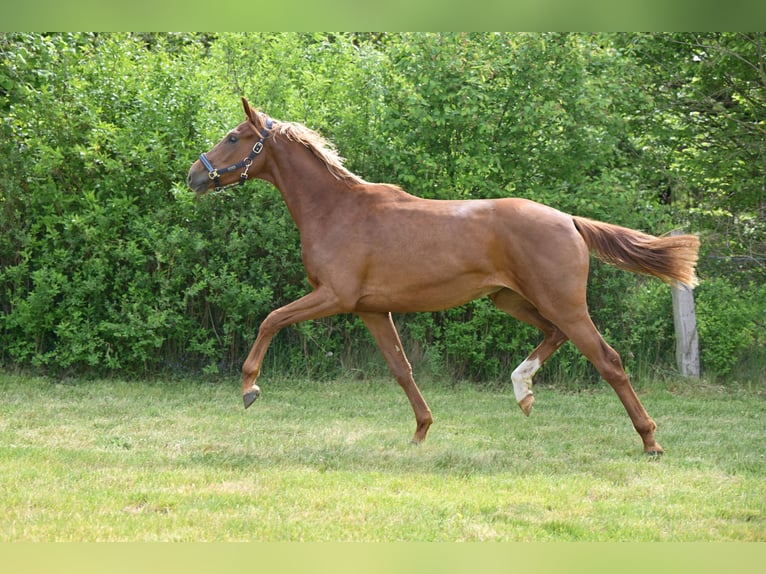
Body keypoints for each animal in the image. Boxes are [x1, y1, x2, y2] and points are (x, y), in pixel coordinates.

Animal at [187, 97, 700, 455]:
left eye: (233, 136)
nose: (194, 175)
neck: (337, 211)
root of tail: (569, 220)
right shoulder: (370, 310)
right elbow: (401, 369)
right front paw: (421, 431)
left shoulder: (334, 296)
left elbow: (270, 319)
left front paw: (250, 388)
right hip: (510, 299)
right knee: (554, 335)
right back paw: (523, 391)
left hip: (564, 303)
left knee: (608, 360)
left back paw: (650, 441)